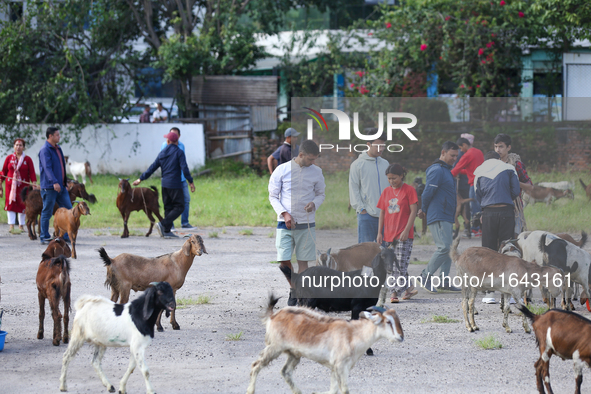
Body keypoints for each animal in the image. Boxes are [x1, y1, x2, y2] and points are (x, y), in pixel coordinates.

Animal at [245, 296, 402, 394]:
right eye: (388, 321)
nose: (401, 337)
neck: (353, 334)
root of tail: (273, 316)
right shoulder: (340, 366)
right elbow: (344, 390)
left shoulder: (336, 367)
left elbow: (333, 390)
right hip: (275, 347)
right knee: (256, 365)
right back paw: (250, 390)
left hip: (293, 354)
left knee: (285, 372)